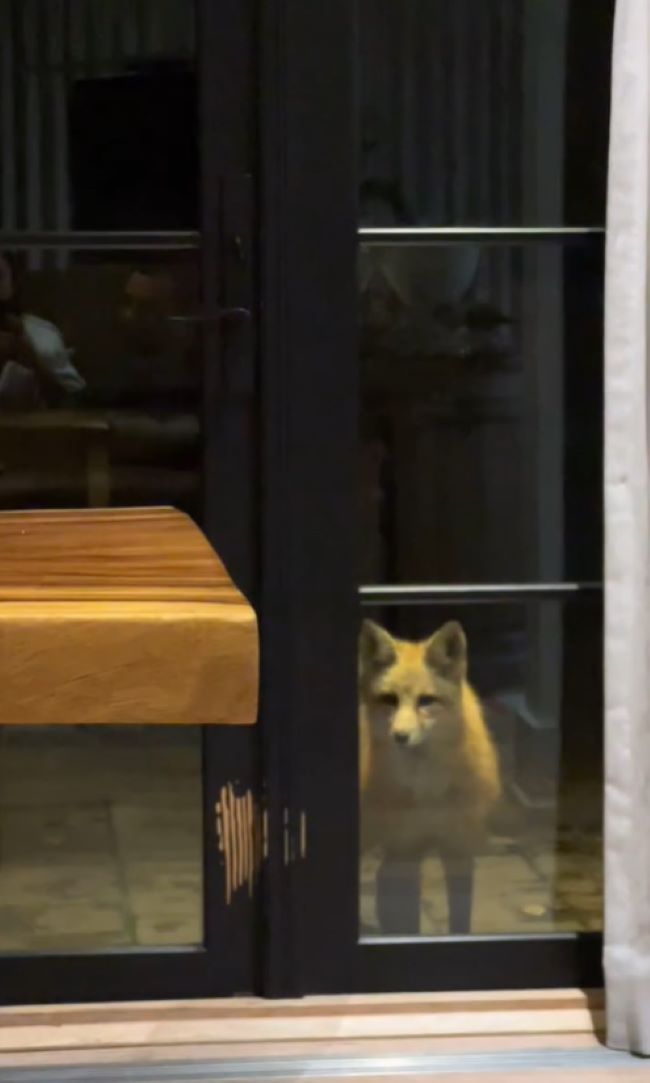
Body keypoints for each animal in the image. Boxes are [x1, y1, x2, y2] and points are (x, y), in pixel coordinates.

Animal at [359, 618, 501, 933]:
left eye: (426, 701)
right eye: (389, 700)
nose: (400, 736)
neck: (428, 790)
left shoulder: (458, 848)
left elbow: (460, 921)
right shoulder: (406, 851)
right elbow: (407, 922)